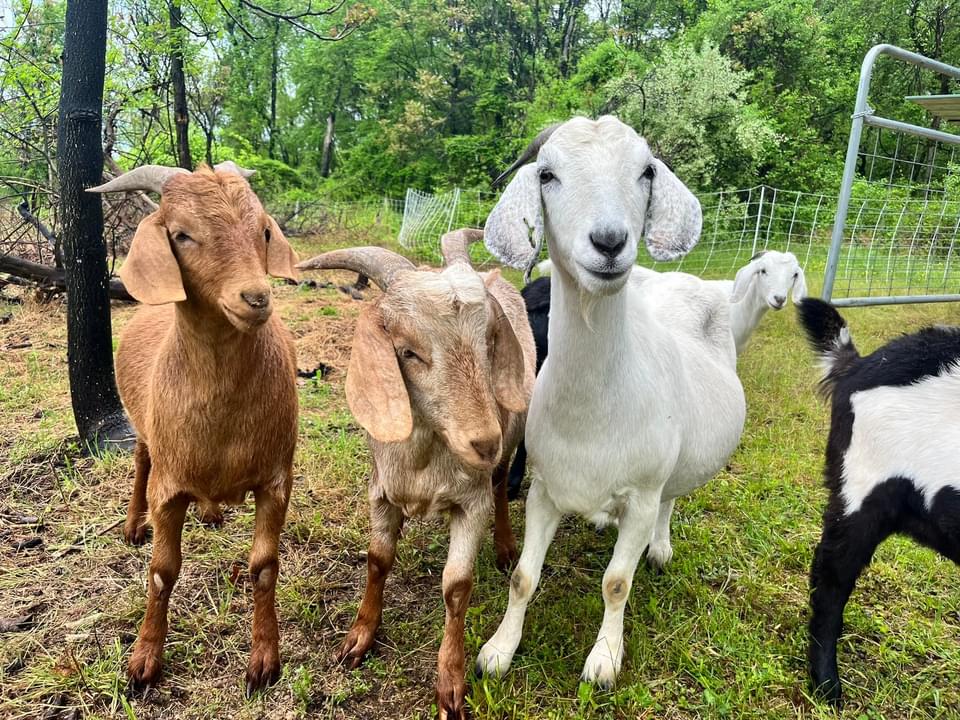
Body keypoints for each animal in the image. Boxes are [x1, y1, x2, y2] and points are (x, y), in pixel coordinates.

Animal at [88, 164, 300, 694]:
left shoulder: (276, 480)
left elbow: (264, 568)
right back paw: (132, 525)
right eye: (182, 234)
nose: (256, 297)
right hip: (146, 434)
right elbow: (162, 572)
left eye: (264, 230)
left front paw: (264, 659)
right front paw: (144, 660)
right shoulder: (169, 485)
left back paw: (211, 512)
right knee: (141, 461)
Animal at [297, 230, 535, 719]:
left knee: (502, 484)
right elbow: (377, 559)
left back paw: (505, 547)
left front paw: (451, 686)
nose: (483, 441)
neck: (425, 459)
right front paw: (358, 638)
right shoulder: (381, 491)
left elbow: (457, 586)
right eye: (407, 351)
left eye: (490, 342)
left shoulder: (472, 502)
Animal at [475, 116, 746, 687]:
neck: (593, 411)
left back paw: (659, 549)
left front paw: (603, 661)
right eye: (547, 174)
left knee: (670, 499)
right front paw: (498, 651)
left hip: (673, 466)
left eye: (646, 171)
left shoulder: (642, 491)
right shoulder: (545, 489)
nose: (609, 241)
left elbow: (617, 582)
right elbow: (523, 577)